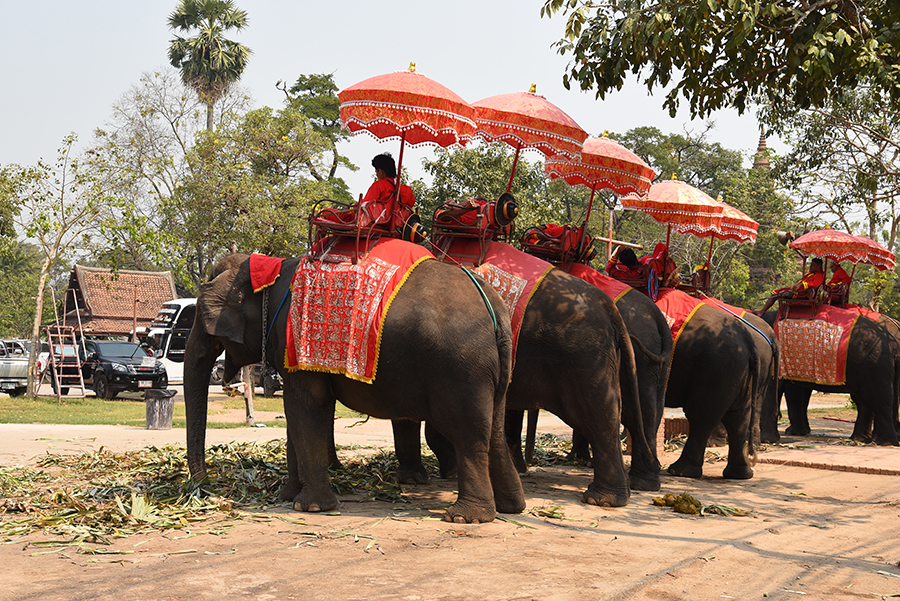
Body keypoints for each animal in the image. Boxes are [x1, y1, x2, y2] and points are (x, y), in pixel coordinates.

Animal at [186, 248, 532, 520]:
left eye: (202, 318)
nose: (205, 489)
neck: (269, 269)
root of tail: (496, 308)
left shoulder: (294, 338)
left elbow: (306, 404)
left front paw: (311, 507)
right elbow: (303, 411)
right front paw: (287, 497)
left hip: (461, 370)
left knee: (468, 433)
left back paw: (466, 517)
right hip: (493, 370)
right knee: (494, 429)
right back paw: (511, 507)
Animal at [398, 264, 656, 506]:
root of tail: (609, 308)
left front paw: (418, 478)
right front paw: (420, 476)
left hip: (584, 357)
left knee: (600, 415)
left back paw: (603, 499)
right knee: (626, 414)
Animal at [760, 308, 900, 442]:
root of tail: (893, 343)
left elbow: (780, 388)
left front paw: (769, 439)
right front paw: (799, 432)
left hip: (875, 364)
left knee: (879, 397)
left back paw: (883, 442)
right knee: (866, 399)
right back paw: (862, 439)